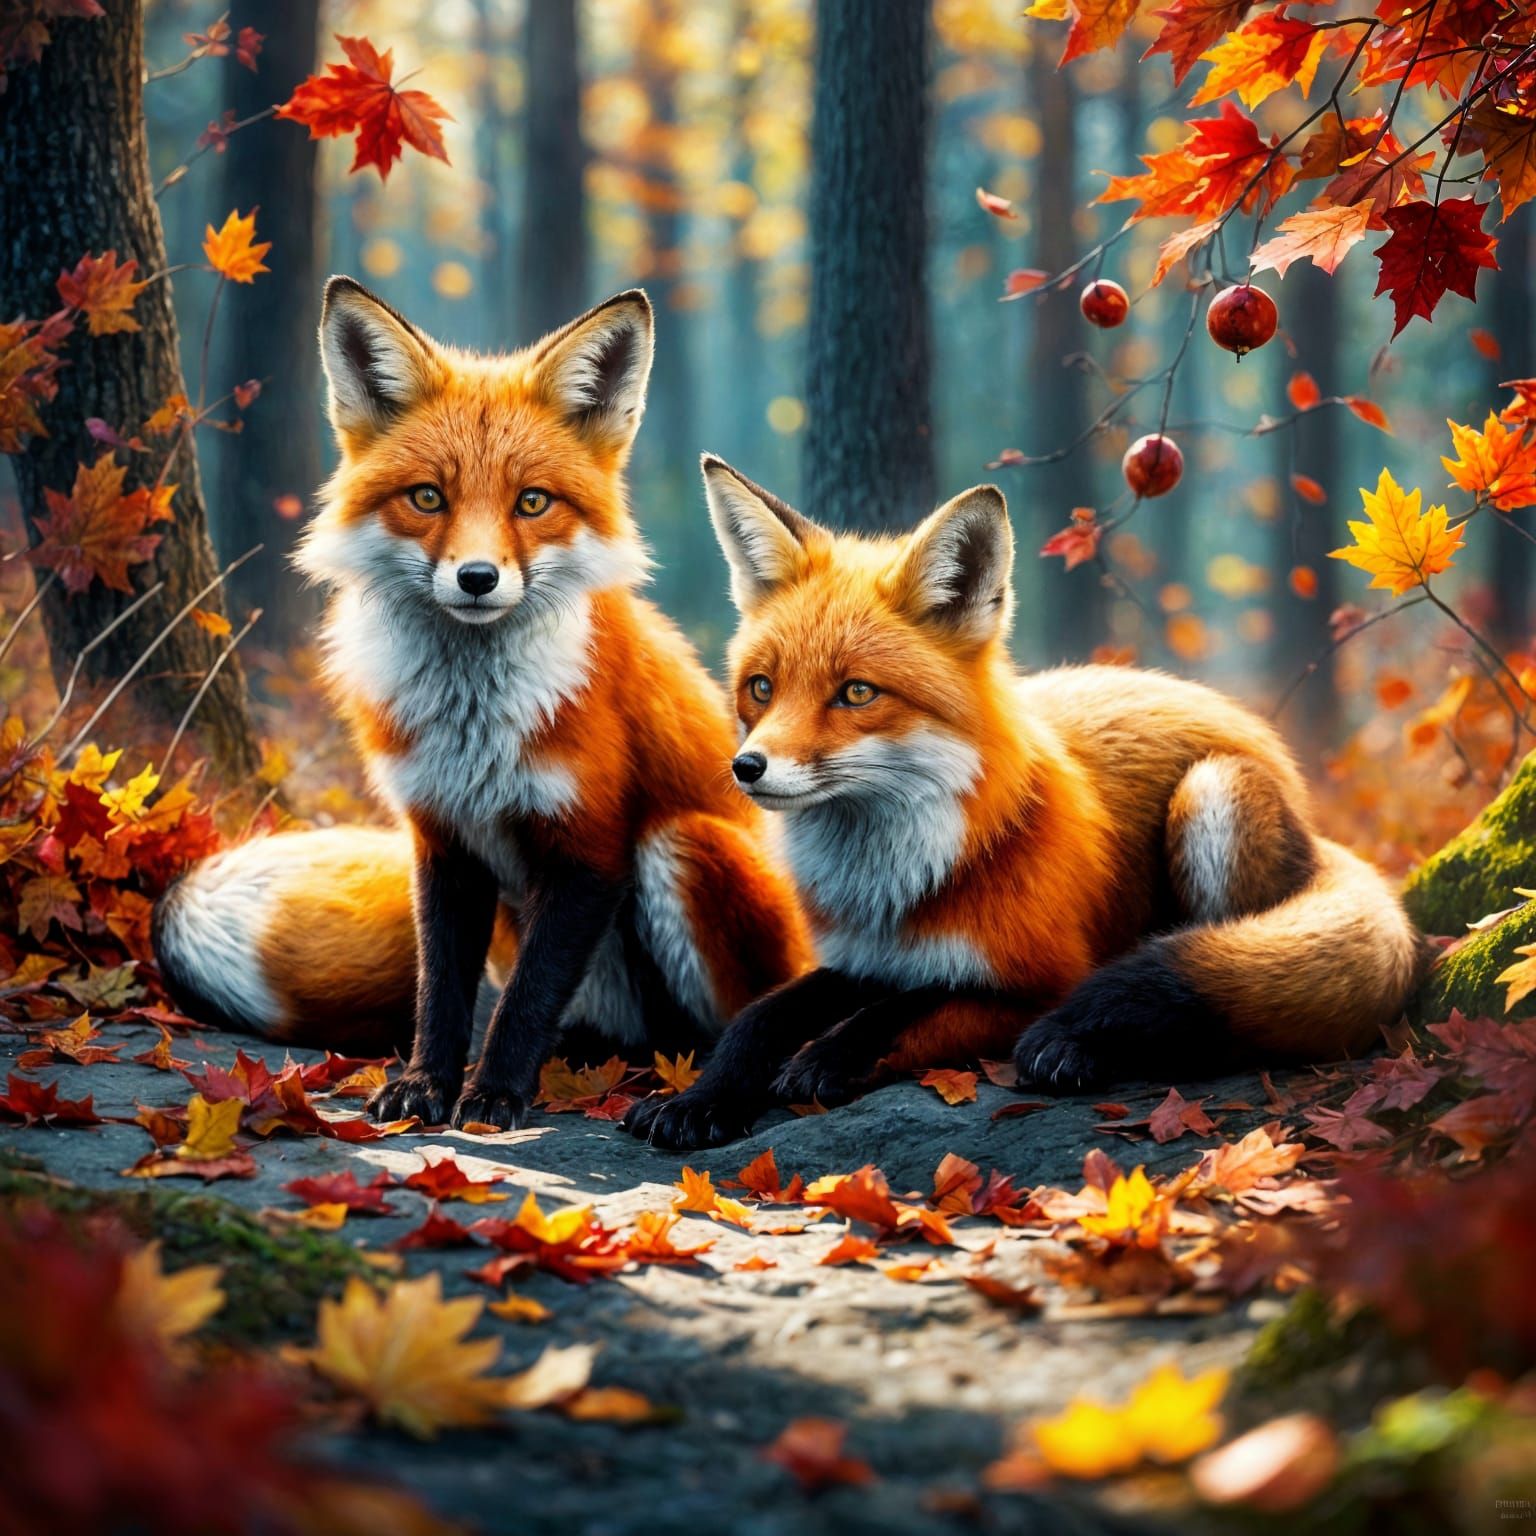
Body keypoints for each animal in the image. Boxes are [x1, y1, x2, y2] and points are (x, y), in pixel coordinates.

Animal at [153, 280, 813, 1129]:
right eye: (428, 497)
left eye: (532, 502)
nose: (476, 578)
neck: (472, 724)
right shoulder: (440, 840)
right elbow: (442, 991)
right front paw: (425, 1085)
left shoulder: (589, 848)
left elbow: (525, 997)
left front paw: (494, 1091)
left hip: (687, 848)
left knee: (698, 1027)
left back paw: (658, 1076)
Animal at [624, 457, 1425, 1149]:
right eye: (761, 687)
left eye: (856, 693)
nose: (747, 768)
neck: (909, 879)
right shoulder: (868, 956)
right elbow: (761, 1016)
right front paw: (701, 1097)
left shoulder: (1042, 979)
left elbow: (909, 1009)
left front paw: (826, 1058)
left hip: (1211, 795)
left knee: (1222, 971)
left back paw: (1098, 1045)